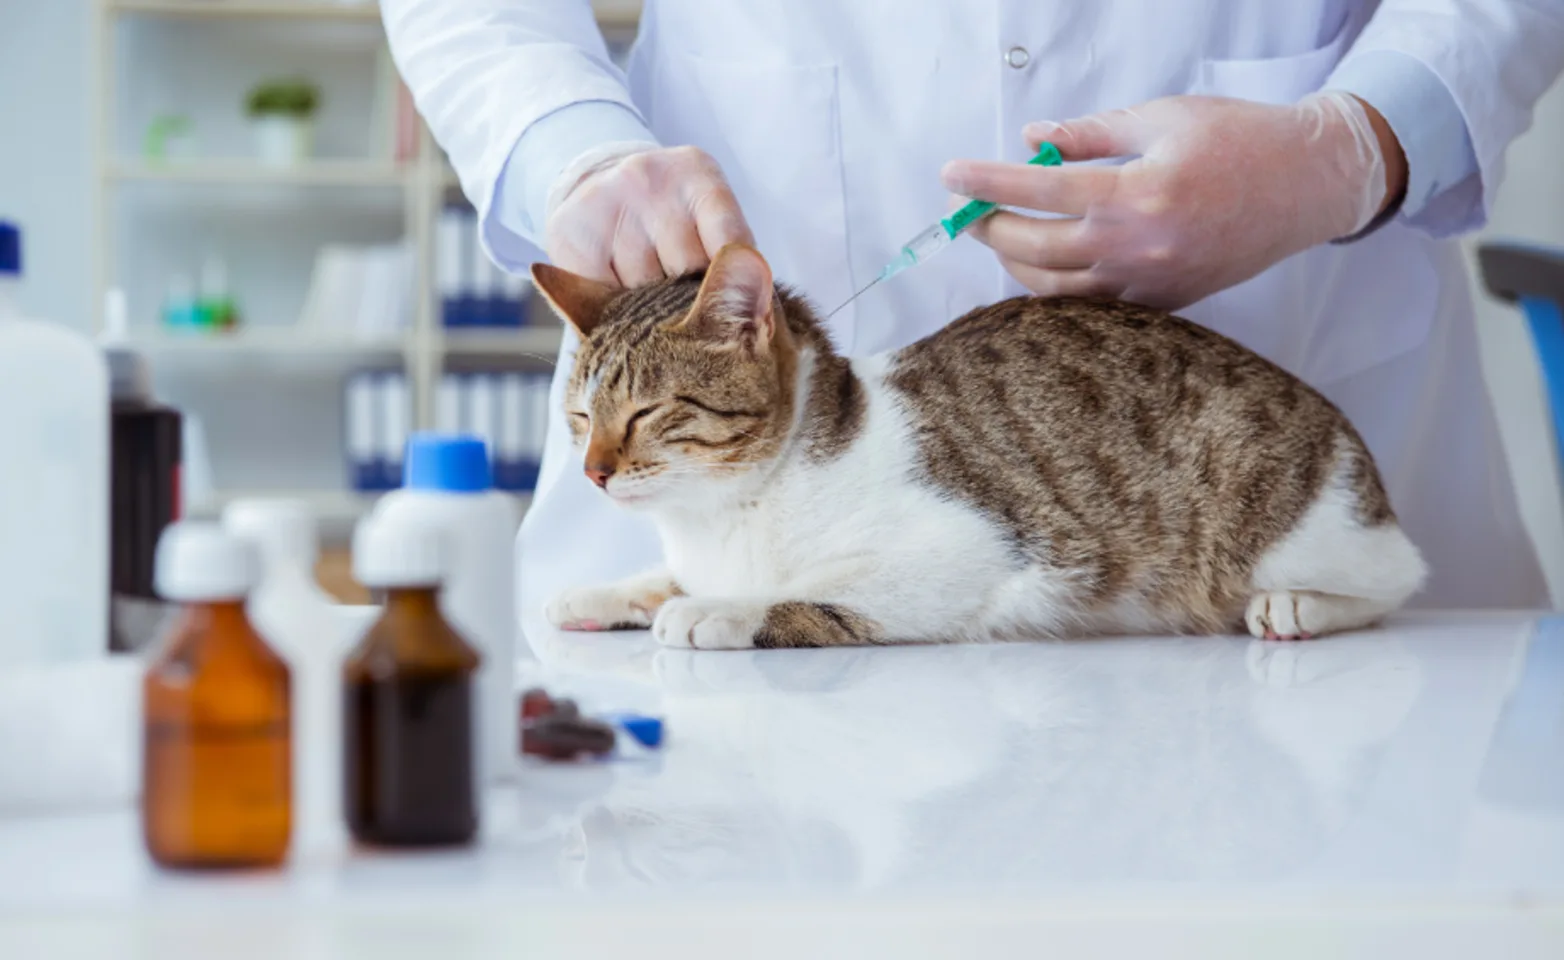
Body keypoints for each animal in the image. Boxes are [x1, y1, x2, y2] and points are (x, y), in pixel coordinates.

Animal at [531, 243, 1426, 650]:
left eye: (645, 414)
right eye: (579, 416)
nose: (595, 472)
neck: (722, 516)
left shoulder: (976, 553)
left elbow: (804, 592)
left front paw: (715, 609)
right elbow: (663, 575)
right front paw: (609, 591)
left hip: (1288, 524)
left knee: (1401, 577)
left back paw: (1297, 606)